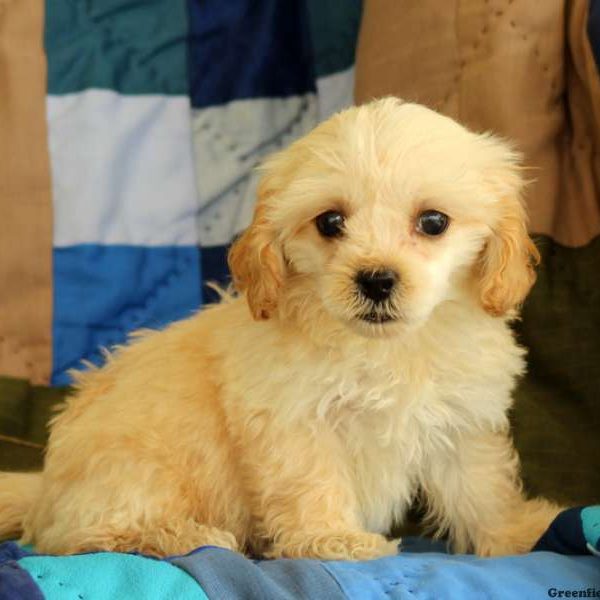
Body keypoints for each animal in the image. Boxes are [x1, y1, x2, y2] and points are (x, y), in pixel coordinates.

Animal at [1, 96, 564, 560]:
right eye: (330, 222)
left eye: (433, 222)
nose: (376, 279)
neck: (385, 348)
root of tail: (47, 488)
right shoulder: (295, 420)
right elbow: (312, 482)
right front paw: (332, 539)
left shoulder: (461, 421)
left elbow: (481, 487)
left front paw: (518, 532)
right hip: (135, 470)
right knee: (84, 535)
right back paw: (182, 535)